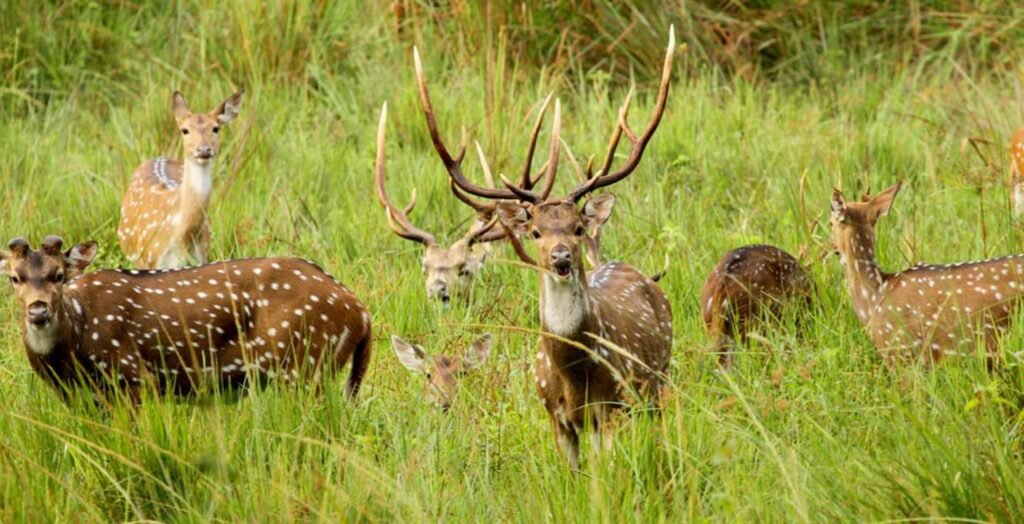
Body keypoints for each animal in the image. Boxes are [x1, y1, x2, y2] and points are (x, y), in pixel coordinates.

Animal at [0, 235, 374, 403]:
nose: (38, 310)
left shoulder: (135, 377)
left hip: (304, 365)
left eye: (59, 275)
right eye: (15, 278)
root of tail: (361, 311)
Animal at [117, 88, 243, 268]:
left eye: (216, 128)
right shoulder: (150, 259)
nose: (203, 149)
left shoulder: (201, 257)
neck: (182, 236)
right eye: (185, 130)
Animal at [411, 28, 675, 468]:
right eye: (535, 231)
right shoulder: (555, 414)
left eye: (578, 227)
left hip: (657, 380)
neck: (572, 374)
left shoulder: (608, 406)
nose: (561, 256)